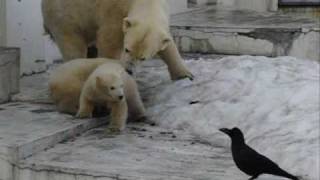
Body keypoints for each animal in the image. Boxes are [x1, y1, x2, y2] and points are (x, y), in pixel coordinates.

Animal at [42, 0, 192, 80]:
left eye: (143, 58)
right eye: (127, 49)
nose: (129, 71)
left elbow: (168, 46)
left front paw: (185, 74)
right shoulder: (114, 11)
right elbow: (109, 42)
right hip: (66, 16)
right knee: (73, 46)